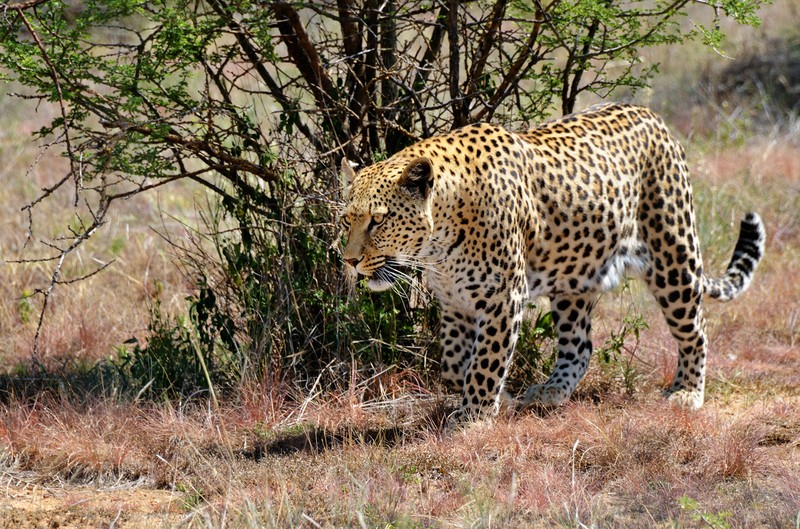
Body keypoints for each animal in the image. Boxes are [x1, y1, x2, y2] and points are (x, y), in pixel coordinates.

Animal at [340, 103, 764, 422]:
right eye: (347, 220)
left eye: (378, 220)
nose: (351, 261)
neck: (437, 245)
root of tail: (654, 117)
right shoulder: (456, 302)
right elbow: (456, 363)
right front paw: (497, 402)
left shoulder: (502, 297)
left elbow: (485, 360)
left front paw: (473, 417)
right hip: (573, 280)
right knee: (580, 345)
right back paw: (552, 391)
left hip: (673, 256)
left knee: (696, 330)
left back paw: (688, 392)